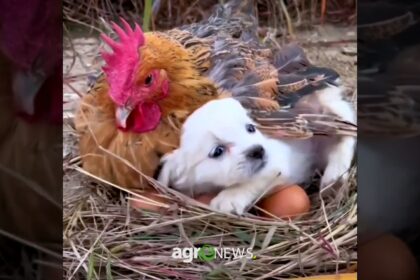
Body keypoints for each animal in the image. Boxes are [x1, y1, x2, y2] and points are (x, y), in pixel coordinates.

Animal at [159, 93, 356, 213]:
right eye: (217, 151)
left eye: (251, 128)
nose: (258, 150)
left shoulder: (276, 163)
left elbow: (251, 182)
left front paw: (229, 198)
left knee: (344, 141)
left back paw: (334, 177)